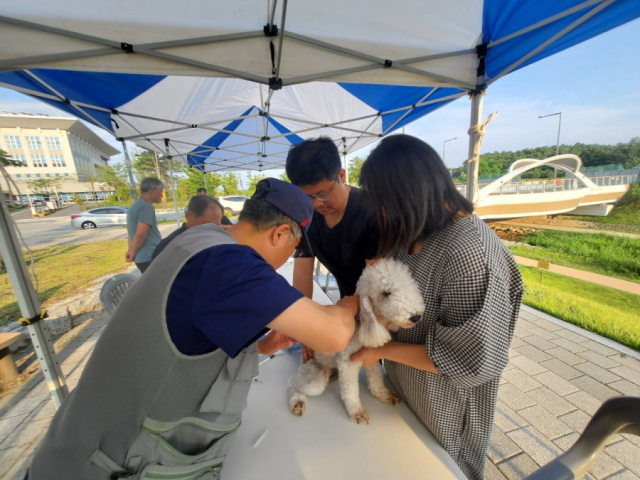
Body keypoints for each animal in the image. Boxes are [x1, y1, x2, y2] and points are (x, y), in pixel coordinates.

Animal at [288, 258, 424, 424]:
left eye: (409, 285)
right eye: (386, 293)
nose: (416, 317)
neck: (361, 324)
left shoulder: (370, 355)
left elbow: (376, 379)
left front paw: (383, 394)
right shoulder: (348, 364)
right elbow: (350, 392)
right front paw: (357, 412)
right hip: (314, 379)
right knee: (292, 382)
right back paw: (297, 402)